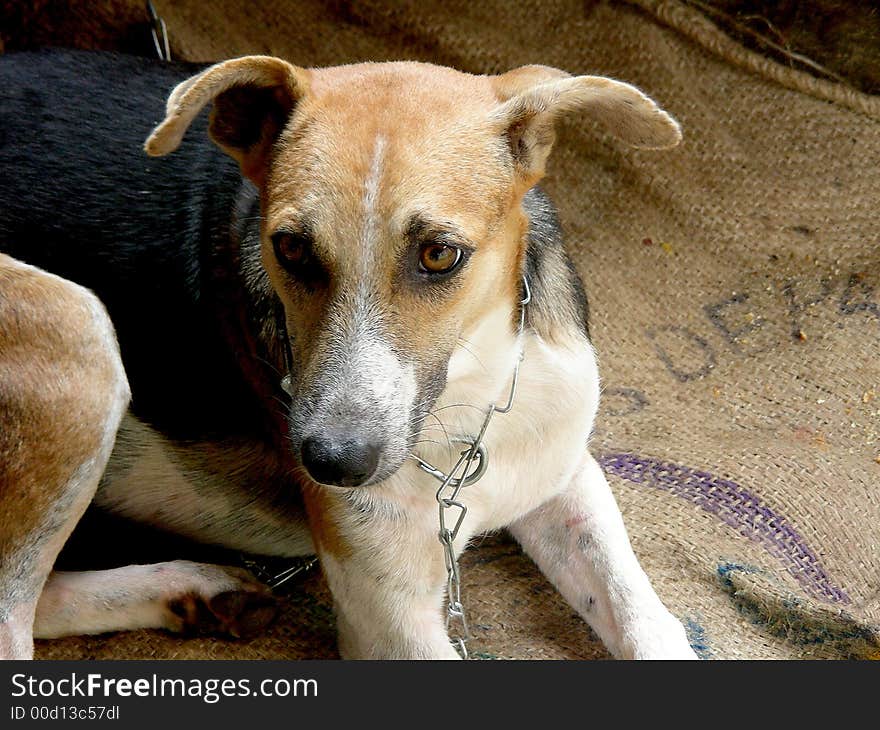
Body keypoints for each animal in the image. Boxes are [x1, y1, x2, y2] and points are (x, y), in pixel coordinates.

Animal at [0, 48, 696, 656]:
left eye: (439, 254)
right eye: (289, 248)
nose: (333, 463)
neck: (466, 403)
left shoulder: (561, 471)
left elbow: (643, 616)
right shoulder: (390, 621)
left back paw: (199, 593)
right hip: (76, 329)